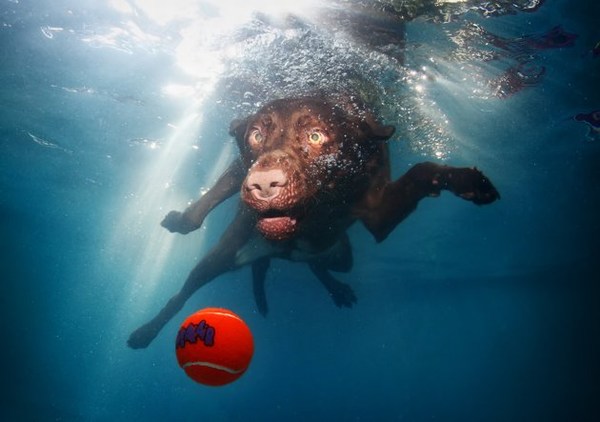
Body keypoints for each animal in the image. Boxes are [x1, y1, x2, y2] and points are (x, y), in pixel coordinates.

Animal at [129, 95, 500, 350]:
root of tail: (278, 254)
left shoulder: (379, 215)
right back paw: (145, 332)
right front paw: (184, 219)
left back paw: (335, 287)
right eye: (255, 136)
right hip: (221, 256)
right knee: (181, 295)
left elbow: (423, 170)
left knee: (317, 264)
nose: (264, 183)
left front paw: (467, 181)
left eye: (316, 137)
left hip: (341, 256)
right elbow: (224, 184)